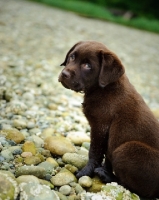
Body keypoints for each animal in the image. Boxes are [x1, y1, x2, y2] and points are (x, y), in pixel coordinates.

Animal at [57, 40, 159, 197]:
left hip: (127, 149)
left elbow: (94, 152)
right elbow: (104, 156)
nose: (64, 73)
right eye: (72, 57)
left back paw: (106, 176)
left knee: (136, 189)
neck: (103, 88)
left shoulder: (100, 127)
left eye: (88, 65)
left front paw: (86, 172)